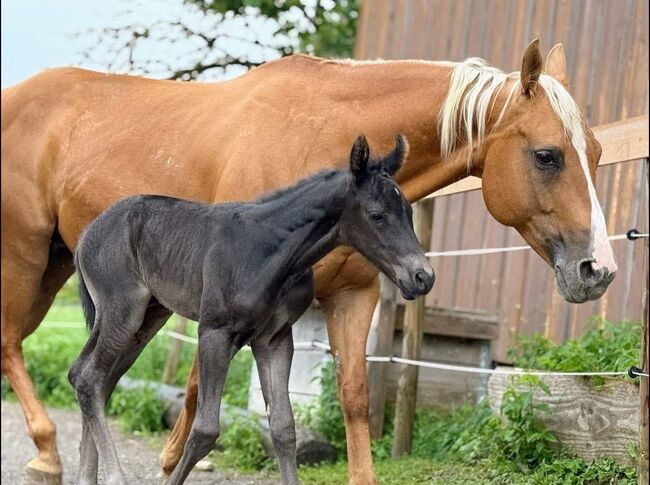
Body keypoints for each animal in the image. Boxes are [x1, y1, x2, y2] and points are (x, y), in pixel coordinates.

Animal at [68, 135, 434, 485]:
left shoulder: (274, 339)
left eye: (409, 212)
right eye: (376, 215)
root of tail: (86, 235)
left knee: (94, 378)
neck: (274, 252)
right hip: (122, 310)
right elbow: (205, 430)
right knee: (88, 378)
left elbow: (284, 428)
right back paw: (113, 475)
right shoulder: (215, 332)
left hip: (150, 316)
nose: (423, 277)